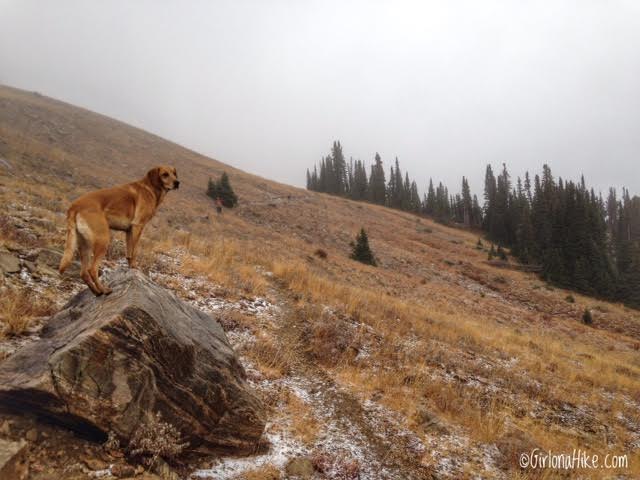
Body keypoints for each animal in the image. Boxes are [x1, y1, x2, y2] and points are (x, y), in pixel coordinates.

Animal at [58, 165, 179, 294]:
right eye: (165, 174)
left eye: (174, 173)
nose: (177, 183)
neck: (150, 187)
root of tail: (74, 207)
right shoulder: (138, 226)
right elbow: (134, 251)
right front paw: (134, 267)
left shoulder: (129, 231)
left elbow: (128, 252)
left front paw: (130, 266)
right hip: (103, 240)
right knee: (92, 270)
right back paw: (104, 290)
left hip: (85, 245)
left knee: (83, 273)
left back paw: (97, 292)